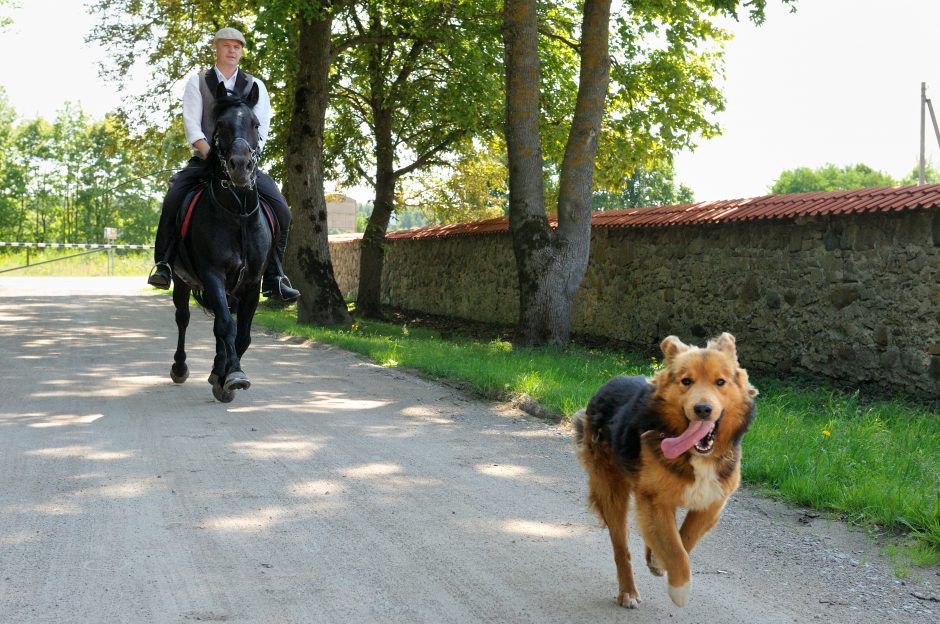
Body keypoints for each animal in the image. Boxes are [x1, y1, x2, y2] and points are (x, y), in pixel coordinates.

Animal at [166, 83, 272, 402]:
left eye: (256, 124)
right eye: (221, 125)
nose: (240, 166)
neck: (237, 212)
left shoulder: (251, 283)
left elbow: (241, 333)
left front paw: (226, 375)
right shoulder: (213, 275)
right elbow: (226, 326)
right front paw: (232, 375)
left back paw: (216, 370)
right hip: (182, 280)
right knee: (183, 317)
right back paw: (180, 367)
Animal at [572, 334, 756, 608]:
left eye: (720, 382)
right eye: (686, 381)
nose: (703, 409)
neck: (695, 455)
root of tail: (606, 385)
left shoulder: (712, 501)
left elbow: (685, 539)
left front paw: (659, 560)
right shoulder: (655, 498)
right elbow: (675, 548)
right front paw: (680, 588)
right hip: (611, 491)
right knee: (621, 548)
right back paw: (628, 592)